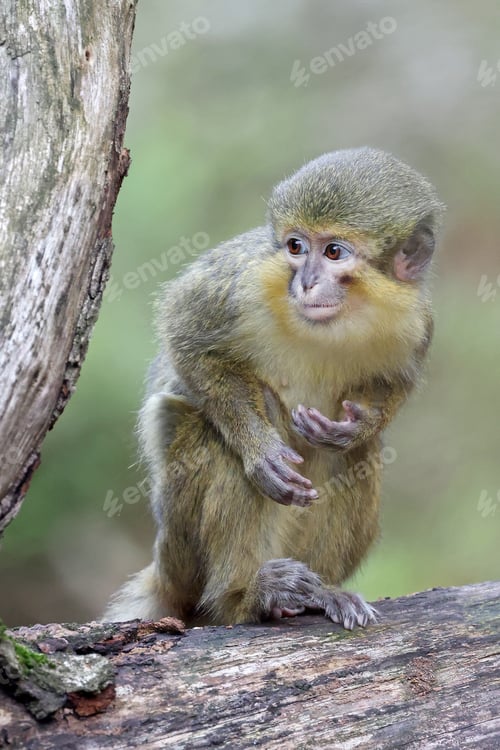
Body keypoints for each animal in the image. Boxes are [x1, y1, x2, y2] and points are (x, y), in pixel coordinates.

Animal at [104, 147, 444, 630]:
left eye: (334, 252)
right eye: (295, 247)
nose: (305, 281)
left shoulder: (417, 322)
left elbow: (394, 385)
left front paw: (356, 428)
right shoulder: (247, 277)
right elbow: (183, 333)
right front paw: (260, 450)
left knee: (355, 458)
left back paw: (321, 591)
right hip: (178, 553)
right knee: (217, 433)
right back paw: (243, 598)